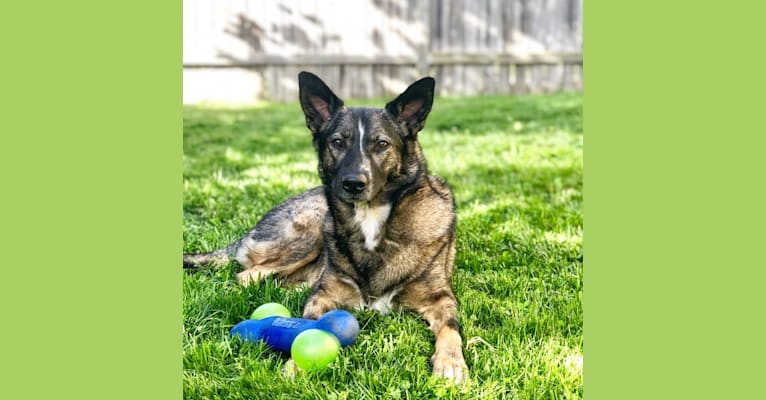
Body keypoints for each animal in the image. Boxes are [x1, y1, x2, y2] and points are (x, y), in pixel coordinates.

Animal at [188, 72, 474, 384]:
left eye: (382, 144)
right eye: (337, 142)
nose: (353, 183)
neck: (372, 219)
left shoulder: (440, 298)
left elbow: (450, 328)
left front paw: (450, 363)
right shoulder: (325, 296)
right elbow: (307, 324)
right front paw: (297, 363)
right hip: (310, 233)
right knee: (247, 276)